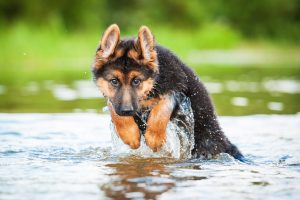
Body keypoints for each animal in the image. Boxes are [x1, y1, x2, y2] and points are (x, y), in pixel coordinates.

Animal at [92, 24, 243, 160]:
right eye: (114, 81)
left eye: (136, 81)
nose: (126, 110)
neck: (154, 83)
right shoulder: (114, 100)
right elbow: (115, 112)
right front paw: (130, 135)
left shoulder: (179, 91)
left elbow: (163, 107)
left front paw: (154, 139)